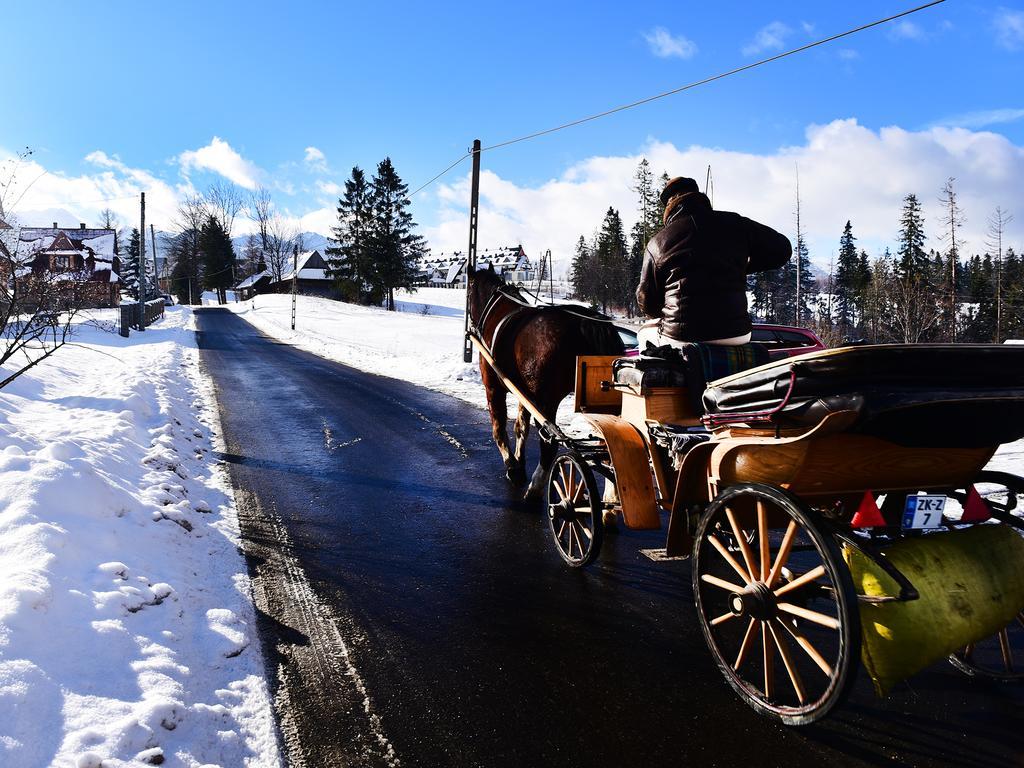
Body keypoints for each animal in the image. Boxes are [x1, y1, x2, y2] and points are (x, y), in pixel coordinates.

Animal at [466, 268, 622, 501]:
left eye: (468, 294)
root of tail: (587, 324)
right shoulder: (524, 394)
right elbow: (520, 427)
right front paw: (519, 463)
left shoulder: (493, 387)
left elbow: (498, 428)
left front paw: (512, 466)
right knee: (609, 446)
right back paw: (611, 499)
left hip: (545, 400)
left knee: (549, 444)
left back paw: (536, 489)